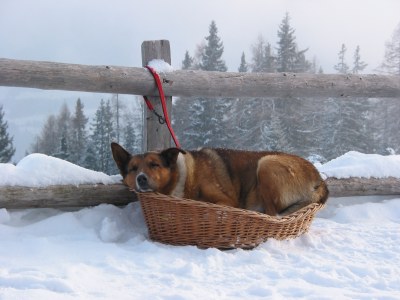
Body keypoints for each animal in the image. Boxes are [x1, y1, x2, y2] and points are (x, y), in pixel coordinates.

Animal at [110, 143, 328, 216]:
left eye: (154, 164)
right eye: (133, 169)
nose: (141, 179)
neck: (182, 177)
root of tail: (320, 180)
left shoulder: (226, 201)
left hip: (266, 163)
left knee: (272, 214)